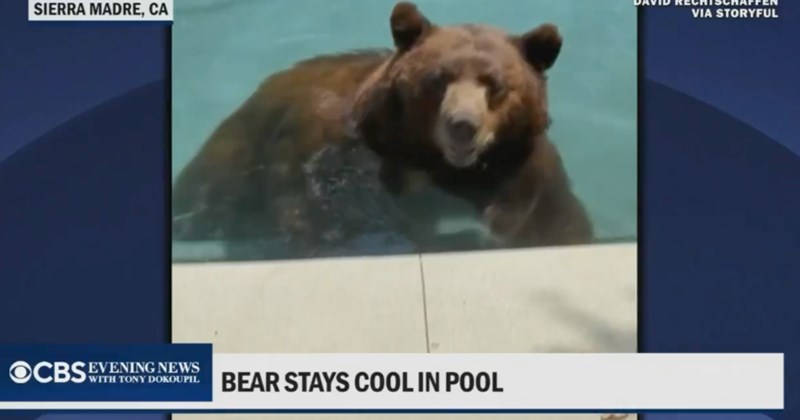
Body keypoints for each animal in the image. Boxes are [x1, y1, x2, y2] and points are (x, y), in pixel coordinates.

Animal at [172, 1, 593, 256]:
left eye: (495, 85)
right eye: (439, 79)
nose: (462, 126)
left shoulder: (520, 164)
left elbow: (551, 220)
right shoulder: (342, 150)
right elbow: (338, 215)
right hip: (240, 143)